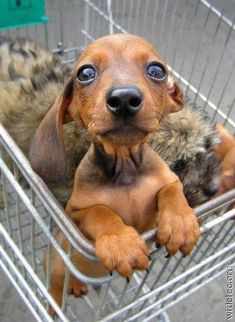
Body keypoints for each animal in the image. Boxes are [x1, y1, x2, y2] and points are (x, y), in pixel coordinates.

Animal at [28, 34, 199, 308]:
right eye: (85, 73)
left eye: (157, 70)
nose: (124, 99)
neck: (125, 169)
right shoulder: (76, 212)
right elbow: (101, 212)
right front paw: (120, 242)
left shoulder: (166, 181)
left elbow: (172, 191)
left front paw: (180, 223)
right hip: (53, 265)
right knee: (54, 287)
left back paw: (76, 284)